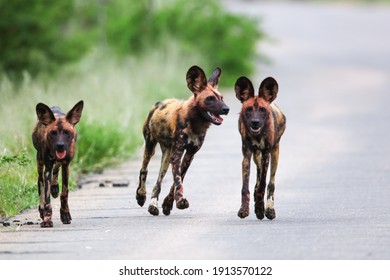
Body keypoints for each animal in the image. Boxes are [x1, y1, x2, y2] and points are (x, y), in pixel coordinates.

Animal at [32, 100, 83, 228]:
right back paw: (42, 209)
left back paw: (55, 187)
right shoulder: (47, 169)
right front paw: (47, 218)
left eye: (67, 132)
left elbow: (64, 193)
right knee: (40, 183)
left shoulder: (66, 165)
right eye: (53, 133)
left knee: (57, 167)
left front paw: (65, 214)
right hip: (40, 164)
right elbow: (47, 199)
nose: (60, 145)